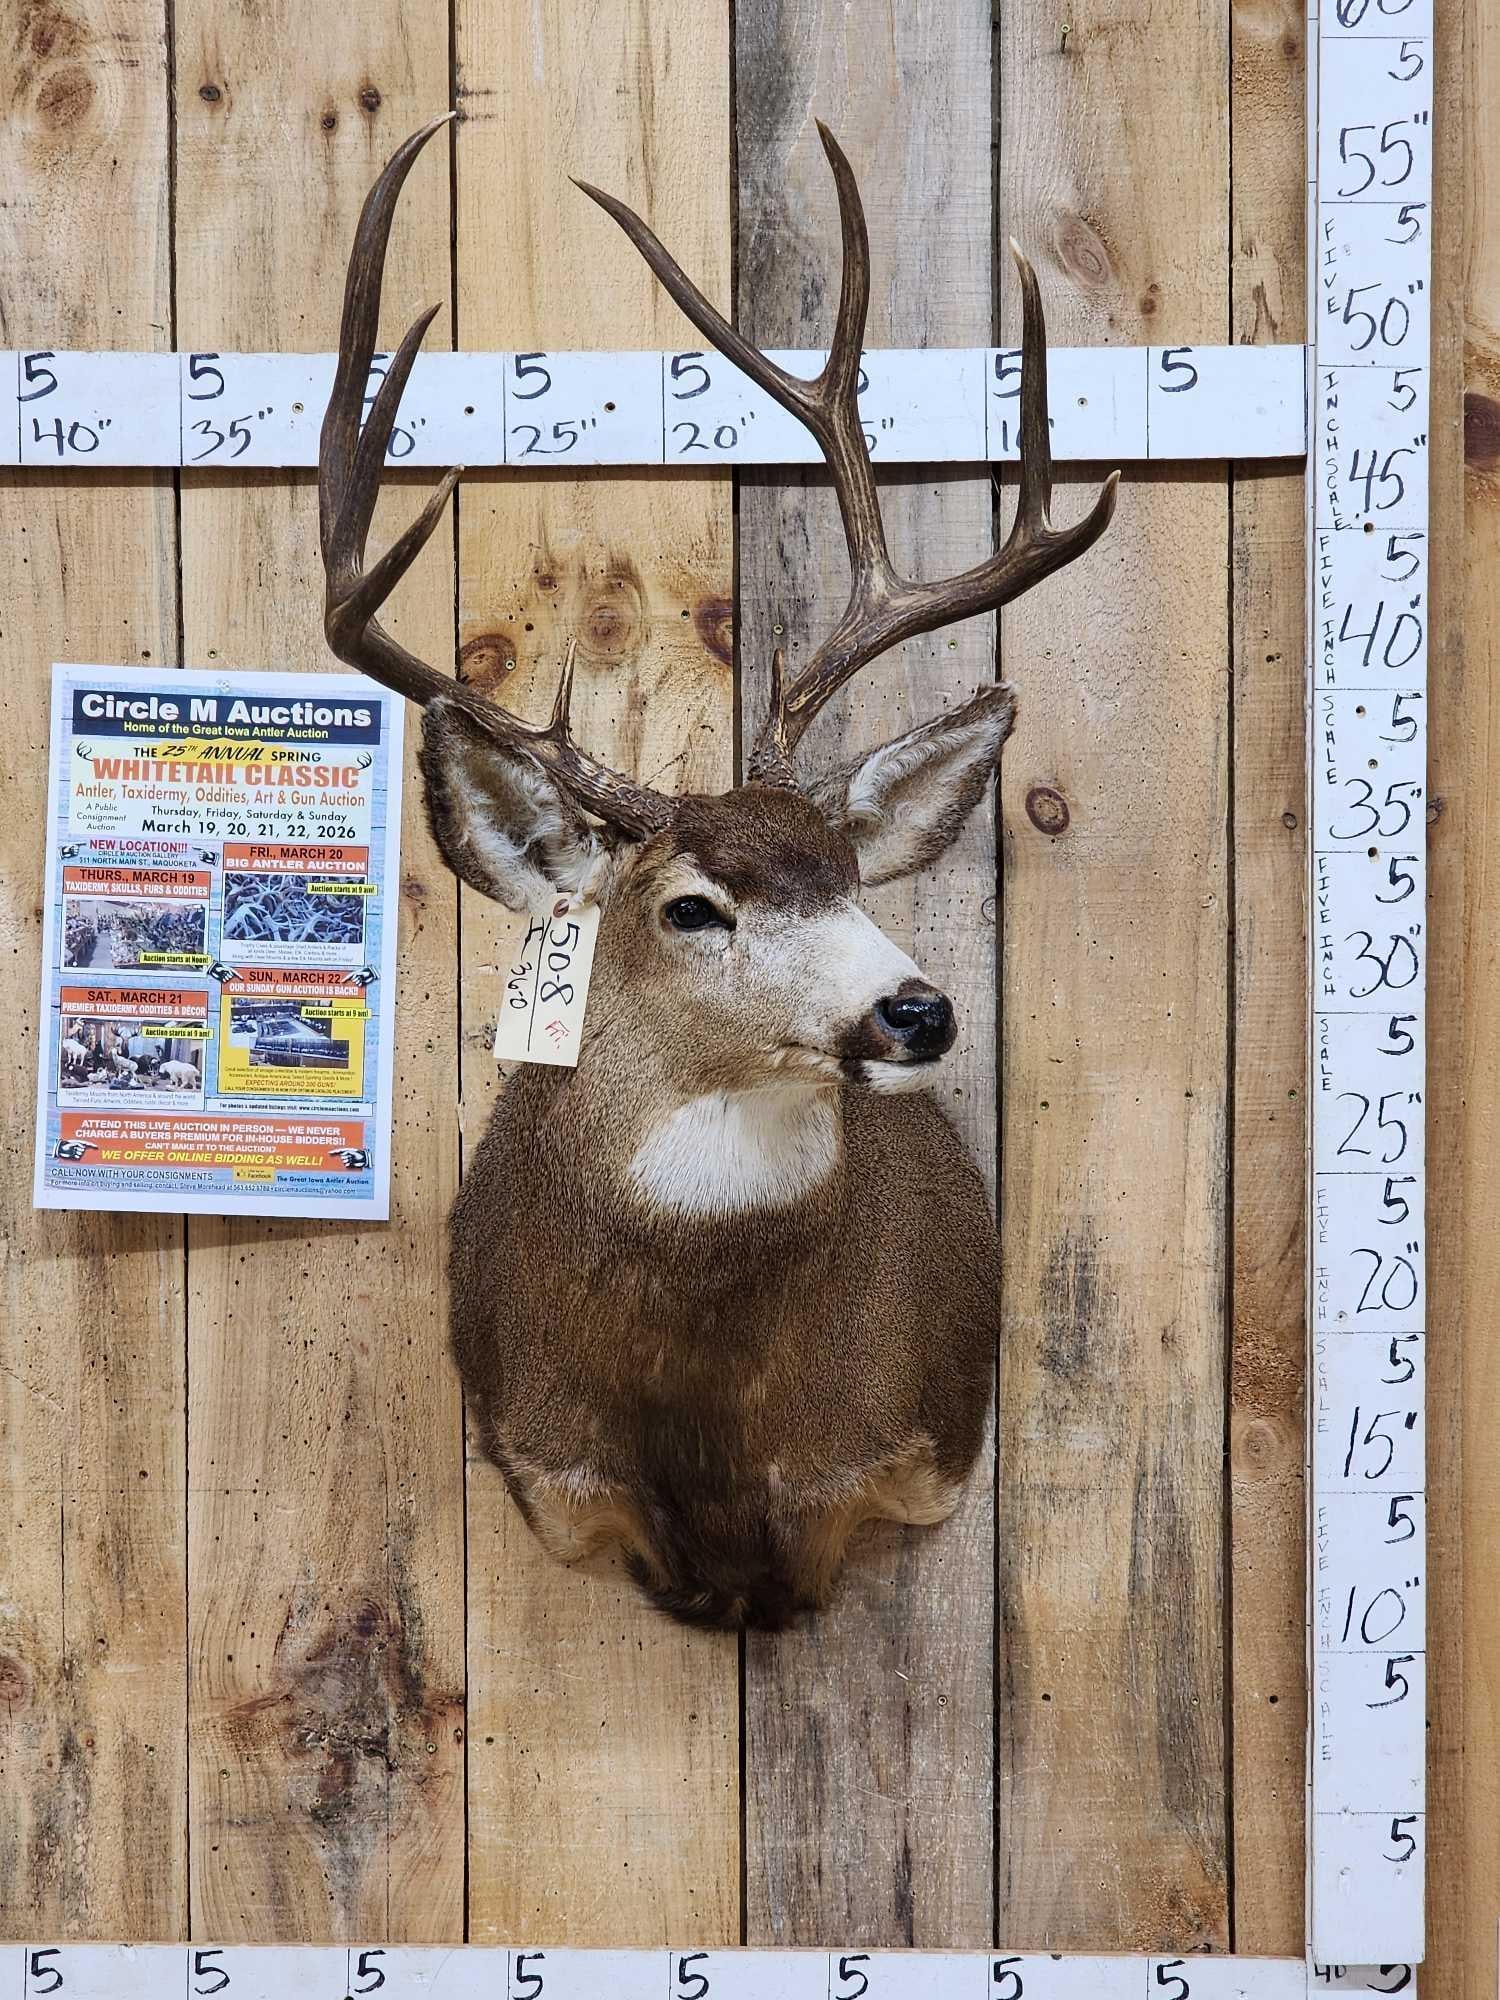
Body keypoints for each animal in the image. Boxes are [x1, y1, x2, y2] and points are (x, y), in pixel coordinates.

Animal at [318, 117, 1118, 1631]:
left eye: (853, 877)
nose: (917, 1009)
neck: (713, 1432)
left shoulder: (901, 1457)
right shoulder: (551, 1469)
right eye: (692, 905)